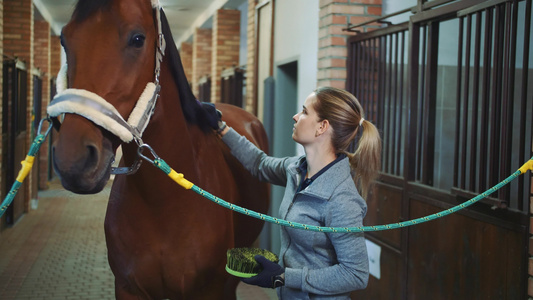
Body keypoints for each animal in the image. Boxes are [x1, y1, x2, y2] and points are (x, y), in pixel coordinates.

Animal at [49, 1, 268, 298]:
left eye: (137, 39)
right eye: (64, 39)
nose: (73, 160)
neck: (164, 204)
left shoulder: (209, 289)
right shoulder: (128, 288)